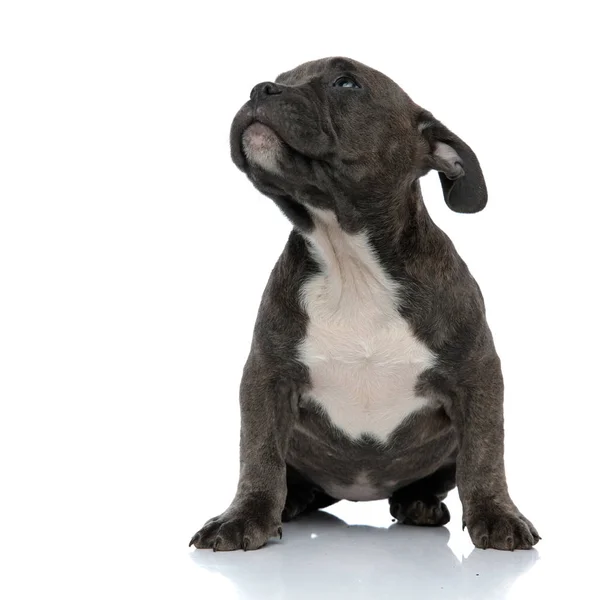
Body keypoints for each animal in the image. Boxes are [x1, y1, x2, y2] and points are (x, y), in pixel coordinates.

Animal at [191, 57, 540, 552]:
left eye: (346, 82)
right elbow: (258, 452)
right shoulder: (267, 376)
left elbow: (485, 453)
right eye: (282, 77)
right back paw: (292, 502)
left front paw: (496, 513)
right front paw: (244, 516)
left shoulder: (477, 375)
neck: (349, 258)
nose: (261, 89)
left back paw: (418, 503)